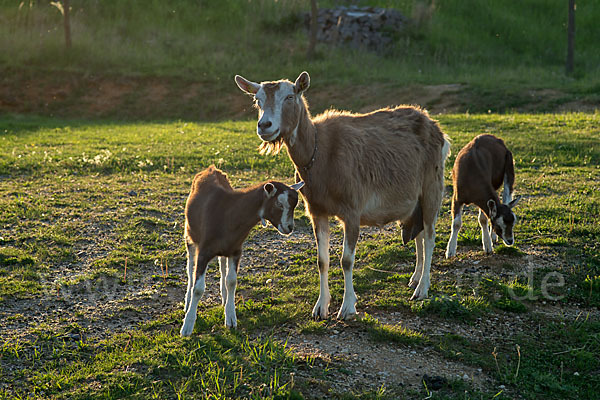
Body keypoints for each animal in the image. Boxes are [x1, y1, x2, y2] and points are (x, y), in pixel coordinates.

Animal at [234, 72, 450, 320]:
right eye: (257, 100)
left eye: (289, 96)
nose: (264, 125)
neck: (320, 154)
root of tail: (436, 128)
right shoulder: (316, 210)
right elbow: (322, 260)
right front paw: (320, 307)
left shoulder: (352, 209)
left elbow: (346, 260)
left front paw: (347, 307)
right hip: (416, 200)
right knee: (420, 235)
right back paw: (415, 279)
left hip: (432, 186)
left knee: (431, 235)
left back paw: (422, 289)